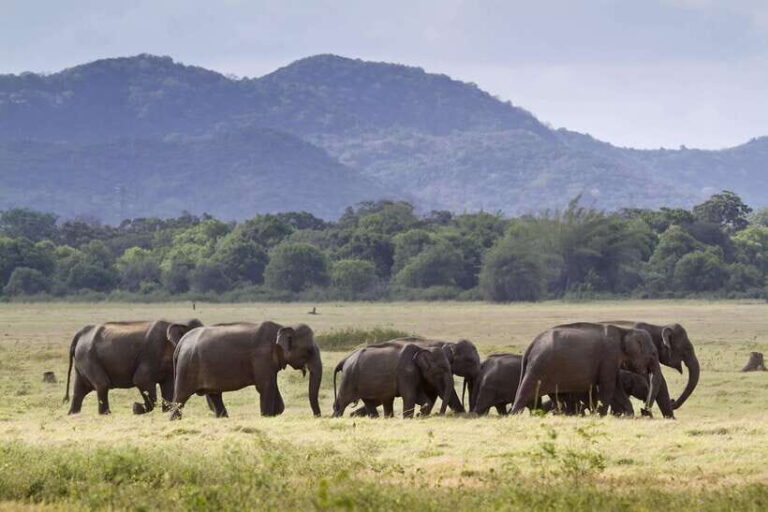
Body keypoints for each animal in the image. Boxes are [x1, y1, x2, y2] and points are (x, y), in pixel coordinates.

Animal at [63, 319, 203, 415]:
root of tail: (80, 334)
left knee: (79, 391)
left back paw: (73, 414)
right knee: (102, 385)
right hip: (88, 358)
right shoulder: (151, 354)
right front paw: (136, 408)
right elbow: (141, 380)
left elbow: (168, 387)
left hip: (83, 361)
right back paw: (105, 414)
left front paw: (165, 411)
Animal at [169, 322, 321, 419]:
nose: (317, 417)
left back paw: (224, 418)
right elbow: (265, 386)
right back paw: (174, 420)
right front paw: (266, 416)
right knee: (180, 398)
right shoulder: (261, 358)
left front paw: (275, 413)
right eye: (309, 351)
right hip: (187, 367)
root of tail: (181, 342)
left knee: (214, 395)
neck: (282, 327)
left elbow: (272, 385)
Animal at [510, 323, 661, 416]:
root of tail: (531, 345)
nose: (644, 410)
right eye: (654, 354)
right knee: (524, 393)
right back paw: (514, 416)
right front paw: (601, 415)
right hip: (538, 367)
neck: (624, 330)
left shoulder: (611, 362)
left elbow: (617, 388)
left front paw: (629, 415)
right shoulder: (609, 357)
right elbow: (608, 387)